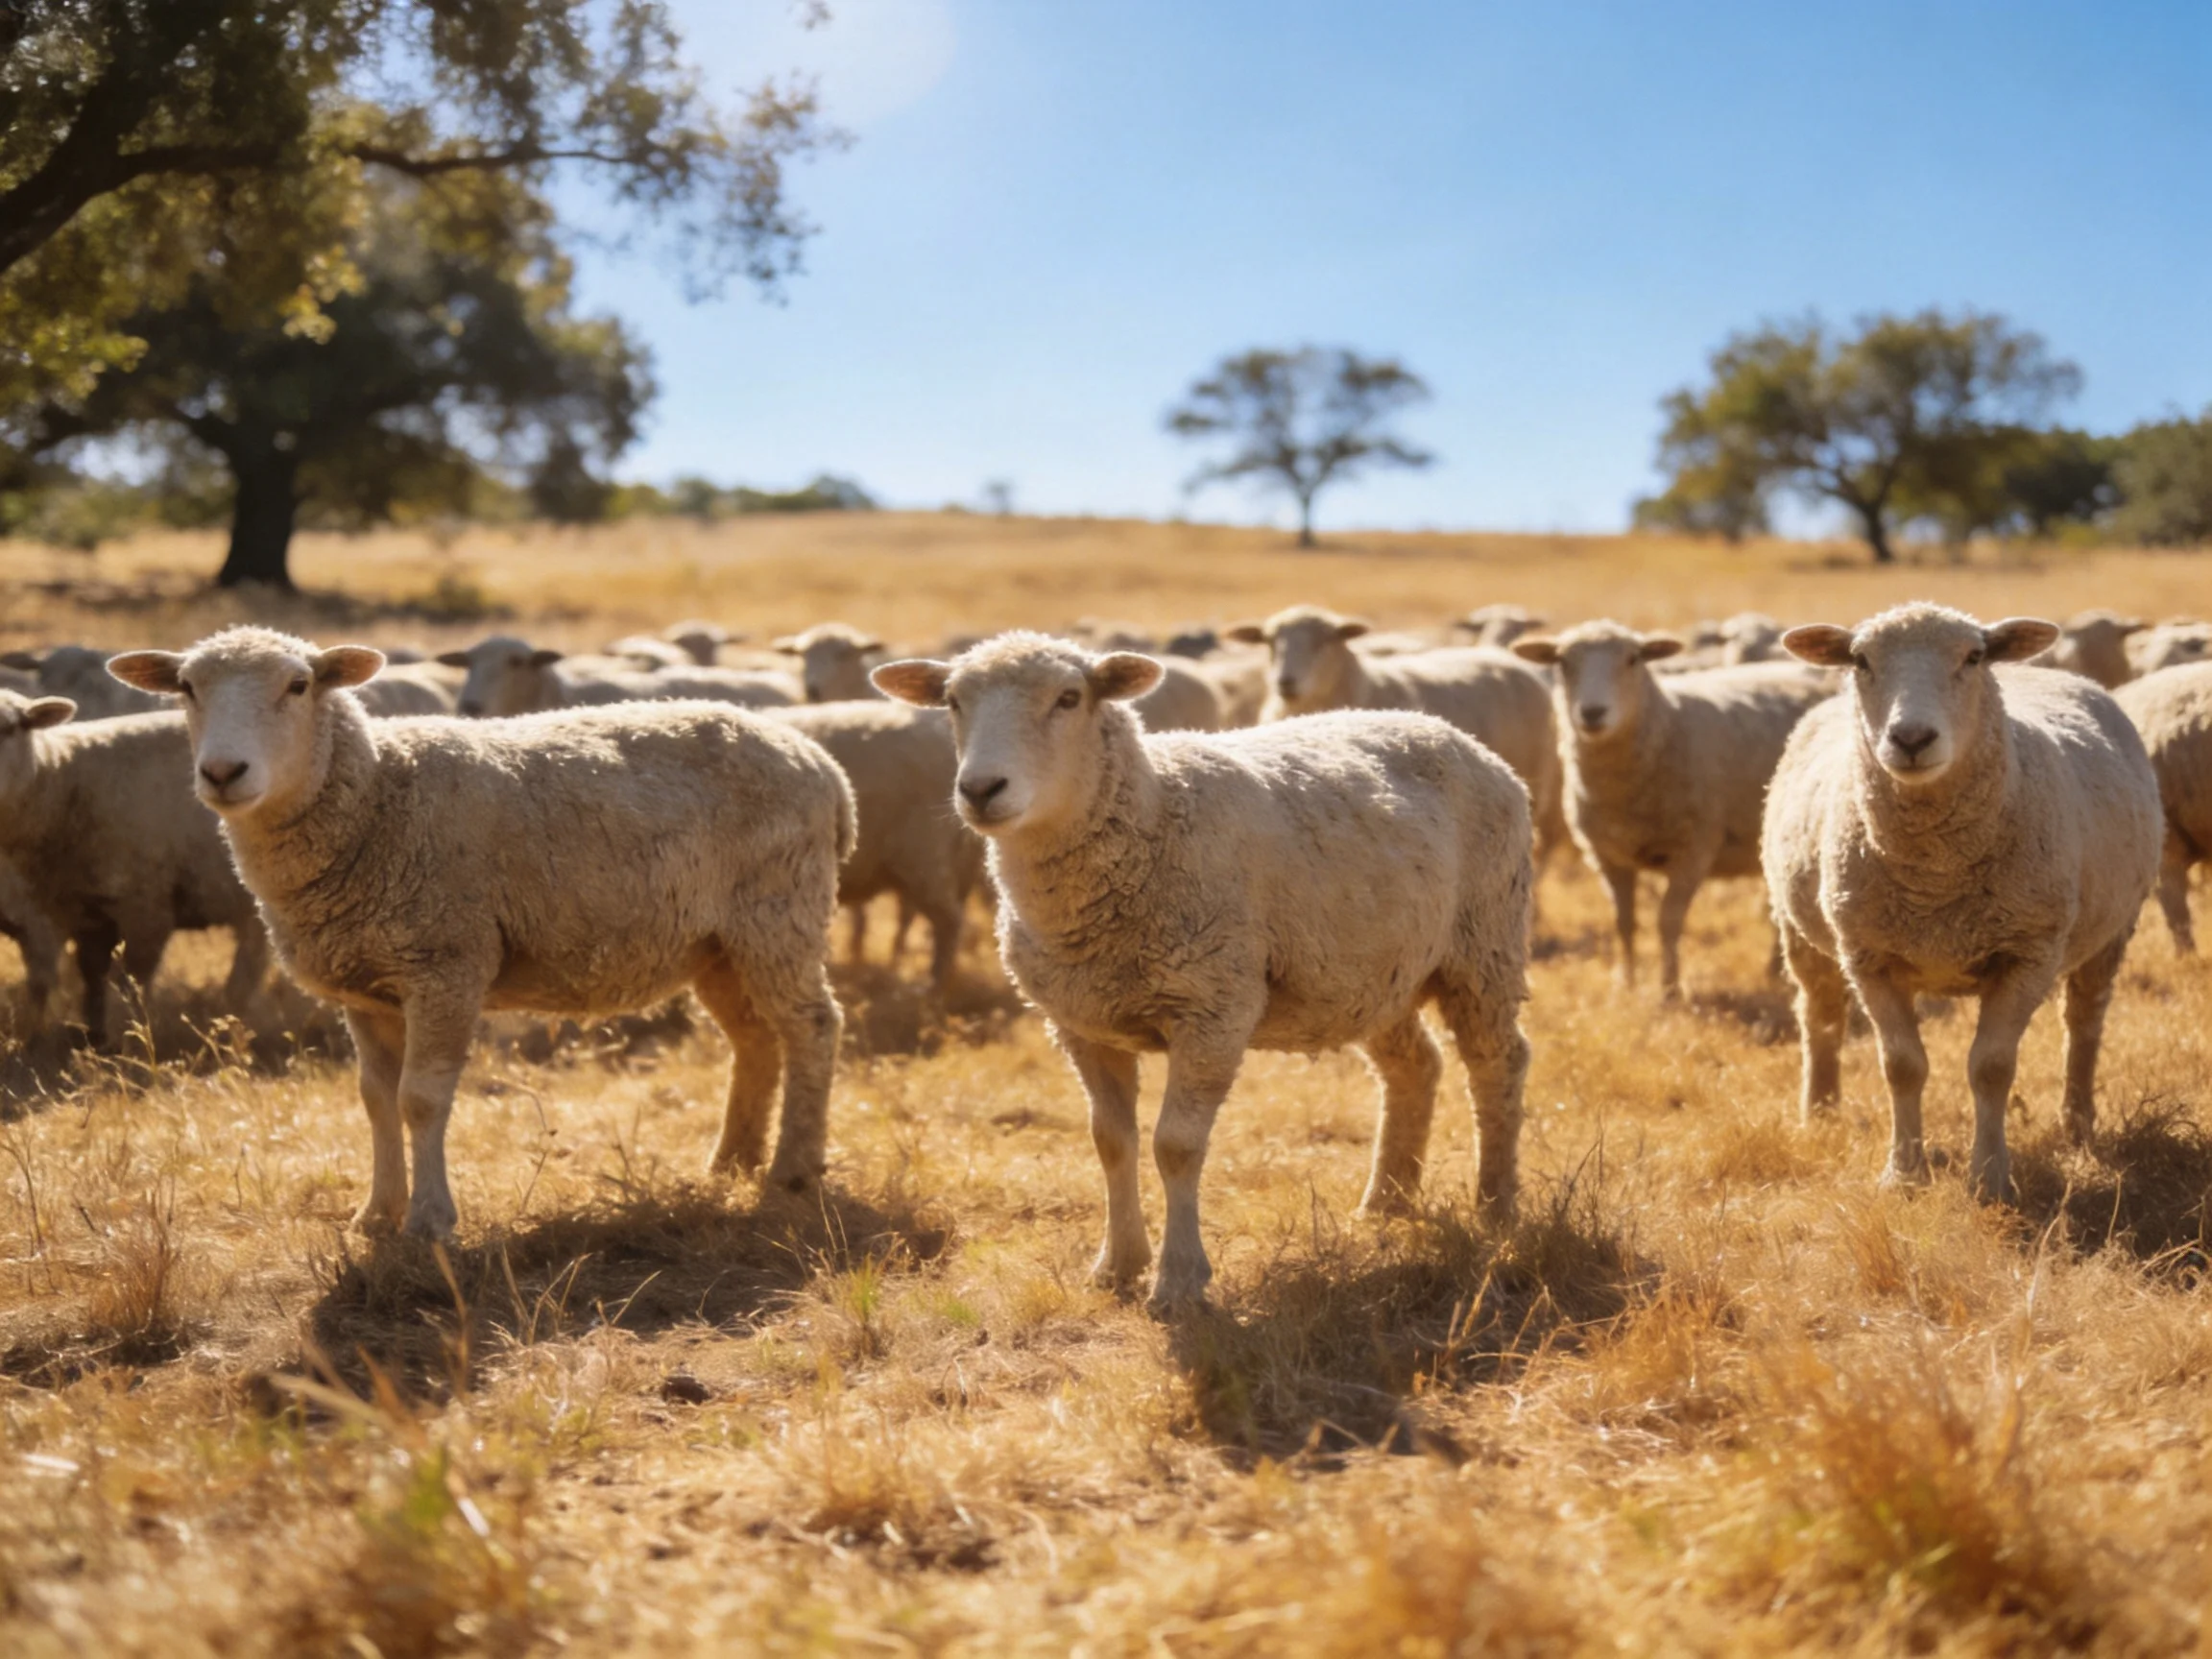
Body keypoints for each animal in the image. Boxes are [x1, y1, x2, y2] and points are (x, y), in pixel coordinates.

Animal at [0, 692, 269, 1041]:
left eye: (9, 728)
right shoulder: (80, 913)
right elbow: (91, 978)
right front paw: (94, 1035)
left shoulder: (146, 906)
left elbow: (130, 983)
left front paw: (127, 1035)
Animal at [109, 628, 854, 1239]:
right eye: (186, 688)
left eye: (298, 686)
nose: (222, 773)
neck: (376, 797)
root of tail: (820, 762)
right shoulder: (365, 986)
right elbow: (374, 1100)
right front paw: (376, 1213)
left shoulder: (445, 963)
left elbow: (419, 1099)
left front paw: (430, 1221)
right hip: (717, 943)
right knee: (755, 1039)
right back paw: (733, 1161)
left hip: (778, 912)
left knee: (813, 1028)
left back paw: (792, 1171)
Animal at [873, 634, 1533, 1312]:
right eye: (953, 701)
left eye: (1069, 698)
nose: (981, 789)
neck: (1152, 813)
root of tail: (1444, 731)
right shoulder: (1082, 1025)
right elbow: (1111, 1141)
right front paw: (1117, 1265)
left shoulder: (1212, 1007)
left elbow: (1175, 1145)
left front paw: (1179, 1280)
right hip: (1372, 972)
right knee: (1414, 1067)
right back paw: (1386, 1206)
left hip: (1484, 943)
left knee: (1497, 1063)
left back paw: (1495, 1206)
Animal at [1511, 623, 1833, 998]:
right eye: (1563, 662)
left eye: (1633, 659)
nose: (1592, 713)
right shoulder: (1607, 856)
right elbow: (1624, 921)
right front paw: (1626, 983)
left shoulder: (1694, 849)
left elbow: (1668, 921)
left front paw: (1669, 989)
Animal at [1764, 603, 2160, 1200]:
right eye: (1860, 660)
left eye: (1973, 657)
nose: (1911, 737)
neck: (1935, 879)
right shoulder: (1868, 955)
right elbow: (1901, 1065)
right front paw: (1904, 1175)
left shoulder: (2027, 952)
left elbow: (1991, 1067)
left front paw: (1990, 1178)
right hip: (1799, 929)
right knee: (1821, 1018)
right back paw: (1821, 1114)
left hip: (2112, 929)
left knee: (2084, 1024)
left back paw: (2078, 1126)